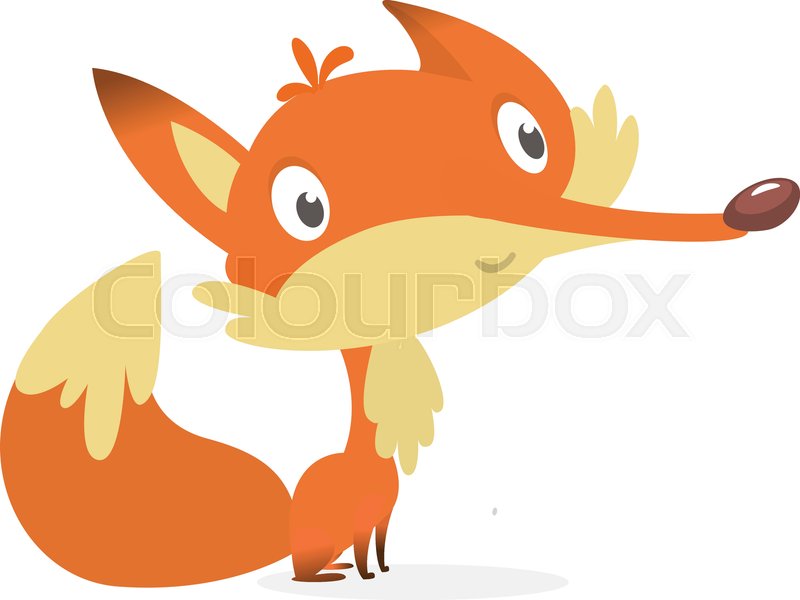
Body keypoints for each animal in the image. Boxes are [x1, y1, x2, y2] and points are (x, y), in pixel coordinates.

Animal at [1, 0, 797, 589]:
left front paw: (382, 574)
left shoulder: (382, 518)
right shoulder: (360, 521)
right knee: (304, 568)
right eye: (306, 207)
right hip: (310, 541)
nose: (761, 203)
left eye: (527, 138)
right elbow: (364, 552)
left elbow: (381, 548)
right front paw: (364, 578)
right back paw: (320, 578)